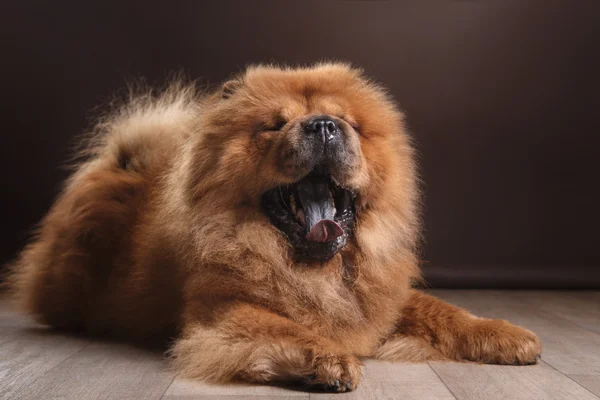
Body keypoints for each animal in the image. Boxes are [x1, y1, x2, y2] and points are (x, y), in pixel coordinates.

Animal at [8, 64, 544, 392]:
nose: (323, 125)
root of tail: (118, 164)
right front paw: (331, 361)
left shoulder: (378, 301)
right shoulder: (221, 311)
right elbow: (285, 325)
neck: (318, 270)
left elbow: (444, 311)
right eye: (273, 125)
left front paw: (508, 336)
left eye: (348, 122)